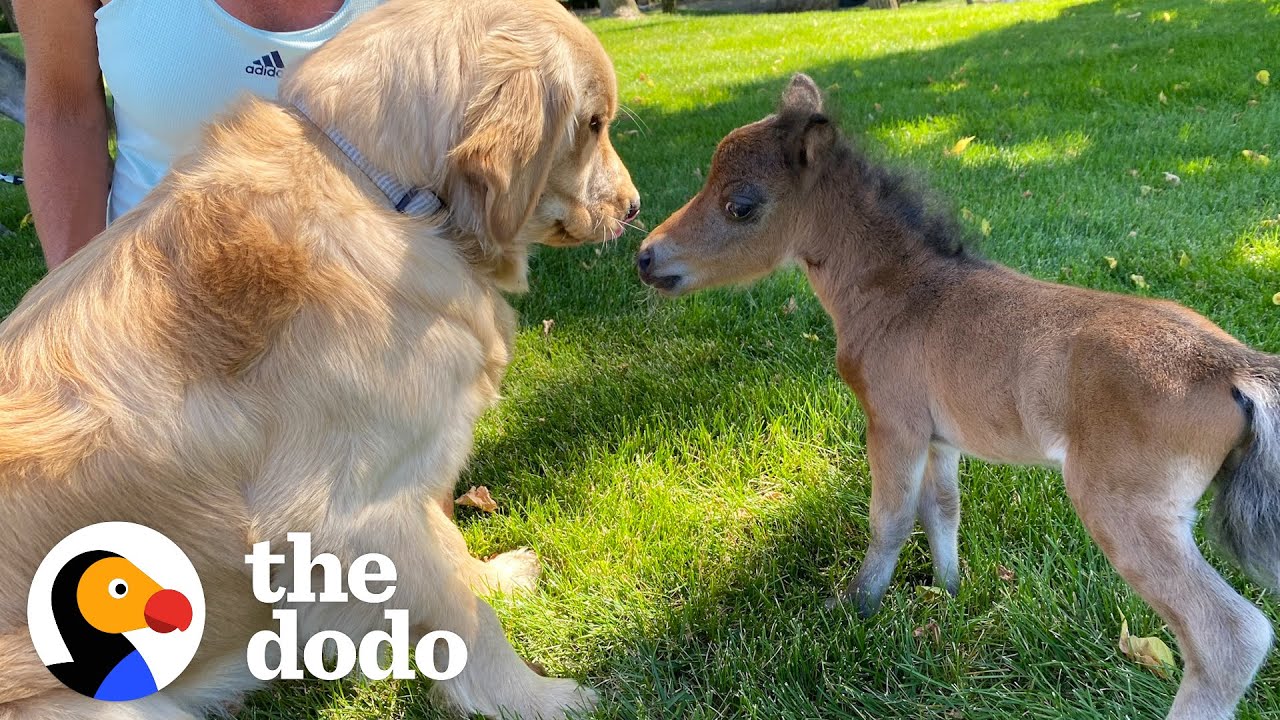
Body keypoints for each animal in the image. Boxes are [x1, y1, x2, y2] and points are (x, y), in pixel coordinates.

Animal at [0, 0, 637, 712]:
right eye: (593, 124)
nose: (634, 207)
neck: (384, 192)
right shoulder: (345, 514)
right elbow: (466, 615)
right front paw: (538, 699)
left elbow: (453, 560)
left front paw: (495, 575)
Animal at [637, 74, 1280, 717]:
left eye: (741, 205)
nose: (645, 256)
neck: (900, 290)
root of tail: (1236, 371)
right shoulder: (940, 438)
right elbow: (942, 508)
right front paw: (949, 594)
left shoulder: (893, 423)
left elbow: (890, 517)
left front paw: (856, 608)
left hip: (1123, 506)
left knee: (1230, 635)